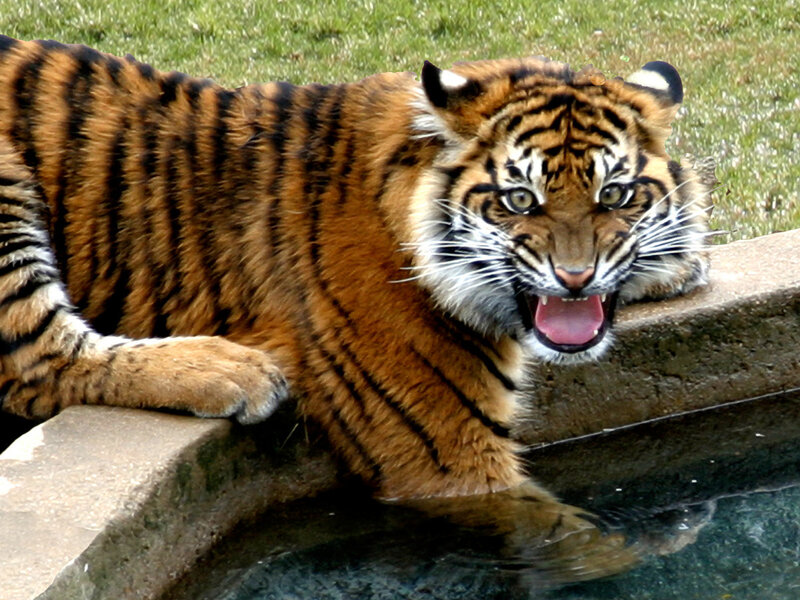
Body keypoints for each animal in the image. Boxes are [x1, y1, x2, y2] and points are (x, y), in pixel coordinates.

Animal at [0, 35, 710, 515]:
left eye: (614, 195)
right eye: (519, 200)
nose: (575, 279)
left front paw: (679, 261)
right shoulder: (443, 451)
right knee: (37, 364)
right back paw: (232, 371)